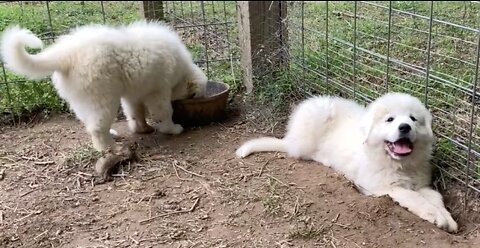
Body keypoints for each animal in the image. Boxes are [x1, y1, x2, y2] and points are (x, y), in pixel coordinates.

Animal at [1, 20, 208, 151]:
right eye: (191, 96)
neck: (180, 66)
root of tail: (65, 54)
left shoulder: (134, 94)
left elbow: (135, 113)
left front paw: (142, 128)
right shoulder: (158, 92)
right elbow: (164, 112)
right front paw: (172, 129)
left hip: (84, 100)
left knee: (90, 123)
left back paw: (111, 135)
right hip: (102, 98)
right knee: (96, 128)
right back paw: (109, 148)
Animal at [236, 92, 458, 232]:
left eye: (413, 119)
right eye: (390, 119)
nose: (404, 127)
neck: (400, 164)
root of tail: (290, 136)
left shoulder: (422, 184)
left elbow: (436, 197)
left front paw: (448, 219)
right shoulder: (381, 186)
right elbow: (413, 197)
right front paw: (437, 217)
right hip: (316, 118)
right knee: (301, 151)